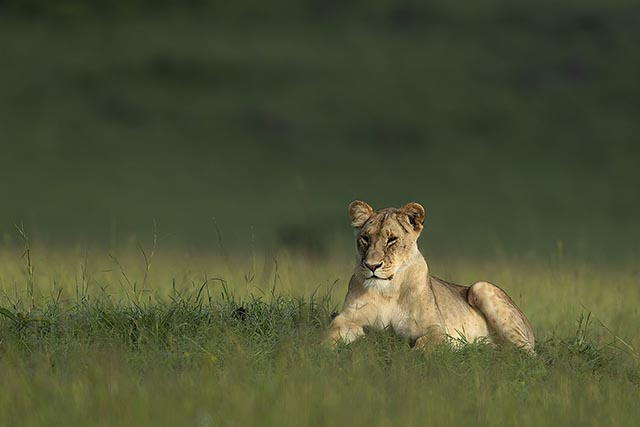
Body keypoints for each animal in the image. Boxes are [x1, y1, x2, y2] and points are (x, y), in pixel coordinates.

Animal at [327, 201, 535, 353]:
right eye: (365, 238)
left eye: (392, 240)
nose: (372, 266)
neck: (389, 290)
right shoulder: (348, 318)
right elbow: (331, 333)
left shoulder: (436, 330)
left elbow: (423, 345)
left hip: (482, 287)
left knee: (528, 354)